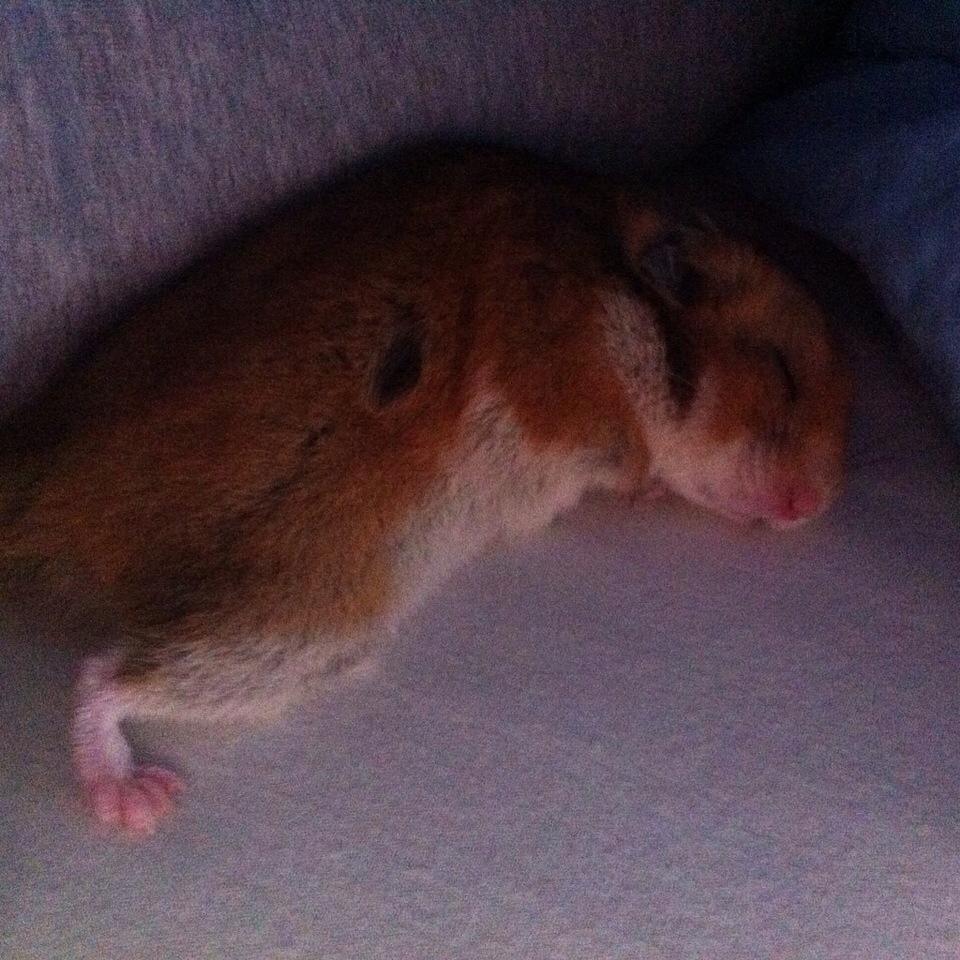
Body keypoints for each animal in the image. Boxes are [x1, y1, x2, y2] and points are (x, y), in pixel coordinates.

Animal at [0, 146, 852, 835]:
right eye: (782, 371)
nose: (809, 509)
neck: (613, 290)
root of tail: (39, 484)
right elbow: (628, 459)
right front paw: (642, 485)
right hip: (298, 614)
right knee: (103, 677)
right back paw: (136, 804)